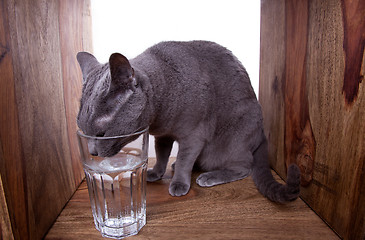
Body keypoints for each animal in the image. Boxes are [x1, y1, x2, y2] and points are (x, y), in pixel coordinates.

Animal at [76, 40, 298, 202]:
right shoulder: (163, 135)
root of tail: (261, 133)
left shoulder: (194, 135)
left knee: (244, 166)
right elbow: (162, 154)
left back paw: (209, 176)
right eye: (82, 129)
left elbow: (184, 159)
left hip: (233, 139)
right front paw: (156, 172)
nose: (92, 152)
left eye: (102, 133)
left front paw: (179, 184)